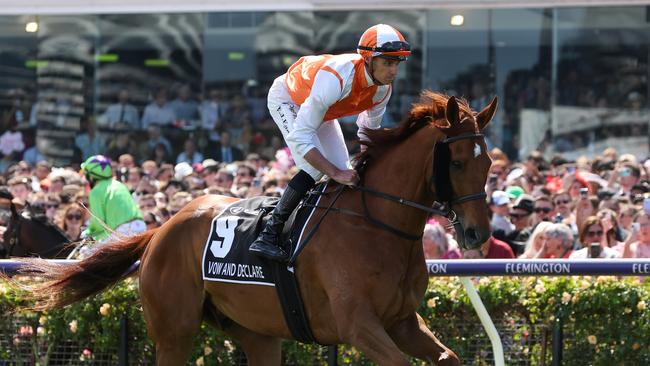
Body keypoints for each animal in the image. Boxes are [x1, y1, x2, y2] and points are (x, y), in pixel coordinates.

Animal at [17, 92, 494, 366]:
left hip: (257, 332)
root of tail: (161, 229)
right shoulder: (358, 324)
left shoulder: (402, 321)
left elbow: (450, 357)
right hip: (174, 331)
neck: (377, 226)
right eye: (456, 162)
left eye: (488, 161)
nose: (477, 234)